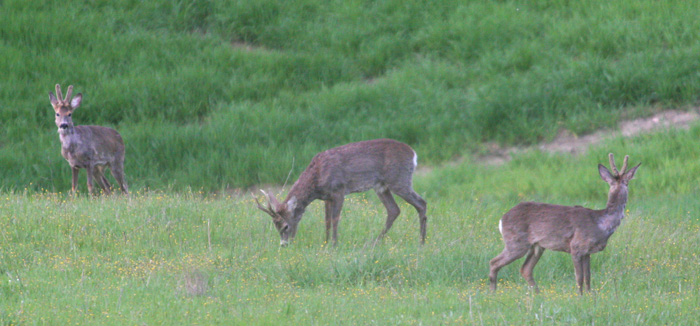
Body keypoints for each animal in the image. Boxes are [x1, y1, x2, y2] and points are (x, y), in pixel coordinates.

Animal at [253, 138, 426, 247]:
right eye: (275, 226)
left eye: (285, 226)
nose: (284, 245)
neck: (316, 178)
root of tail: (413, 154)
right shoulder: (327, 197)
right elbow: (327, 221)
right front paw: (325, 242)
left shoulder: (339, 190)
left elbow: (335, 219)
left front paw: (334, 245)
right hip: (381, 186)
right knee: (394, 210)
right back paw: (375, 242)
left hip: (399, 179)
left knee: (421, 203)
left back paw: (422, 242)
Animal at [490, 154, 644, 294]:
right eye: (627, 183)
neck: (601, 223)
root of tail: (502, 219)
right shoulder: (576, 247)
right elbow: (579, 277)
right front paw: (580, 297)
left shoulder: (587, 252)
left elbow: (588, 277)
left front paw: (589, 296)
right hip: (516, 242)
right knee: (494, 262)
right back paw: (493, 293)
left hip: (537, 246)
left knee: (525, 269)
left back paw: (538, 294)